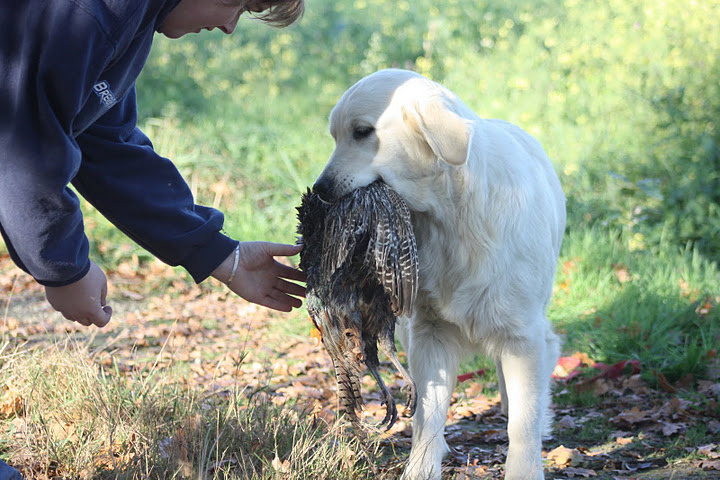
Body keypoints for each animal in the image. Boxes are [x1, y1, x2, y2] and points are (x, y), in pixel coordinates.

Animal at [316, 68, 568, 480]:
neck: (450, 217)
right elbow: (427, 417)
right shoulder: (430, 333)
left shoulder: (522, 335)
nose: (320, 190)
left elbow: (523, 422)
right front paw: (420, 468)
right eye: (335, 136)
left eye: (362, 132)